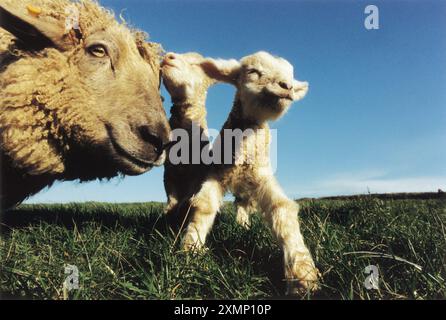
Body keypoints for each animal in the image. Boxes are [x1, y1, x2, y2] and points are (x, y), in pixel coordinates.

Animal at [176, 51, 318, 294]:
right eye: (253, 71)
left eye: (290, 75)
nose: (287, 86)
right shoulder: (217, 173)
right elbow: (204, 205)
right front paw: (190, 251)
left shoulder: (262, 175)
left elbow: (281, 207)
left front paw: (303, 274)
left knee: (244, 203)